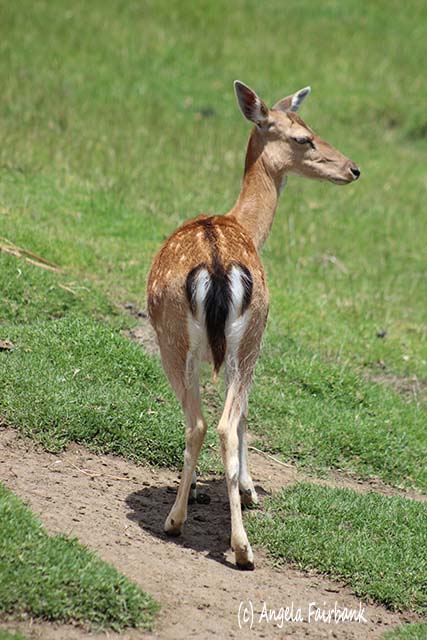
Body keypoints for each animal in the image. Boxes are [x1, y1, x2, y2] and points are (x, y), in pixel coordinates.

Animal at [147, 81, 360, 570]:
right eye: (304, 137)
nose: (353, 168)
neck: (244, 223)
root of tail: (218, 267)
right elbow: (243, 412)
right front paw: (242, 489)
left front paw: (237, 490)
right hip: (241, 336)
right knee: (219, 419)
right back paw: (231, 540)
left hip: (187, 338)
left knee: (206, 422)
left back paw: (201, 529)